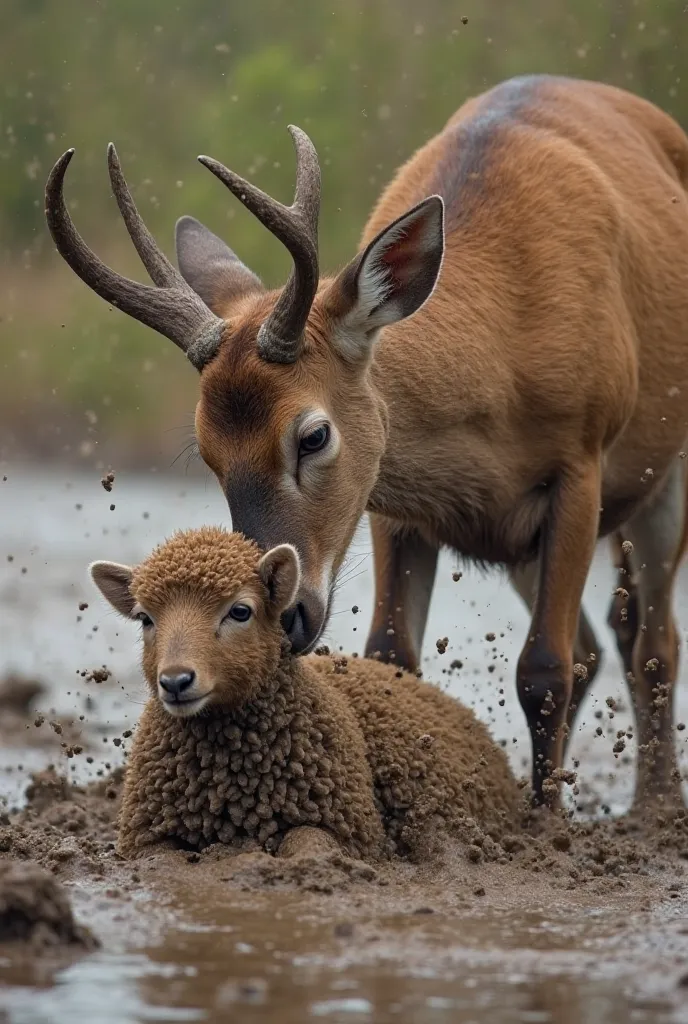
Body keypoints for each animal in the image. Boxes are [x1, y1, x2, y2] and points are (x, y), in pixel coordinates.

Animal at [45, 75, 688, 811]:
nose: (282, 612)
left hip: (661, 475)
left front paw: (545, 823)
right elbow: (393, 657)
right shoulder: (394, 504)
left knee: (649, 642)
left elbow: (545, 668)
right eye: (208, 454)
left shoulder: (580, 463)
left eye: (313, 435)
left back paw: (654, 808)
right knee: (601, 643)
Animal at [90, 532, 522, 860]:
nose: (176, 681)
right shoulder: (144, 835)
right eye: (145, 618)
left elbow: (308, 845)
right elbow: (160, 860)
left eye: (241, 611)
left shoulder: (345, 828)